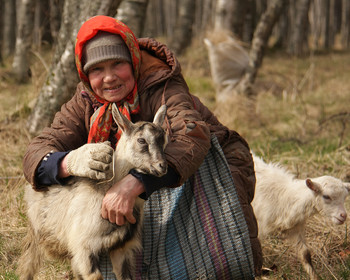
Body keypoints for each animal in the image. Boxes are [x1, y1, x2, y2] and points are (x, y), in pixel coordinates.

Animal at [17, 104, 168, 280]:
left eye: (163, 138)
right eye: (141, 140)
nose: (162, 166)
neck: (107, 190)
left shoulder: (120, 249)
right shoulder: (84, 248)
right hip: (35, 236)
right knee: (27, 266)